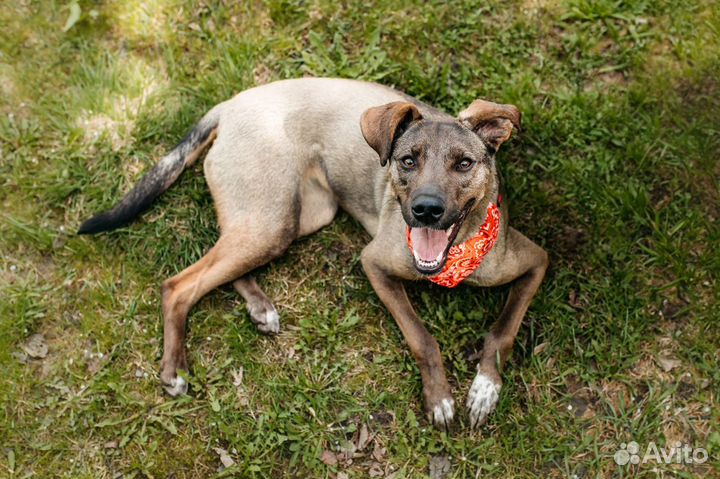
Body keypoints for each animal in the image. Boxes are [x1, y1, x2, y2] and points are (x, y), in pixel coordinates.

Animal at [79, 79, 548, 432]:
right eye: (407, 161)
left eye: (464, 163)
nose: (426, 210)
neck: (452, 259)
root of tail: (231, 105)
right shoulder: (374, 263)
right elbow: (422, 338)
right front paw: (440, 400)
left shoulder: (536, 261)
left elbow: (503, 332)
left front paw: (485, 388)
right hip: (270, 217)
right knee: (178, 285)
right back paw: (174, 369)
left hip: (294, 217)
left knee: (222, 263)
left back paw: (259, 307)